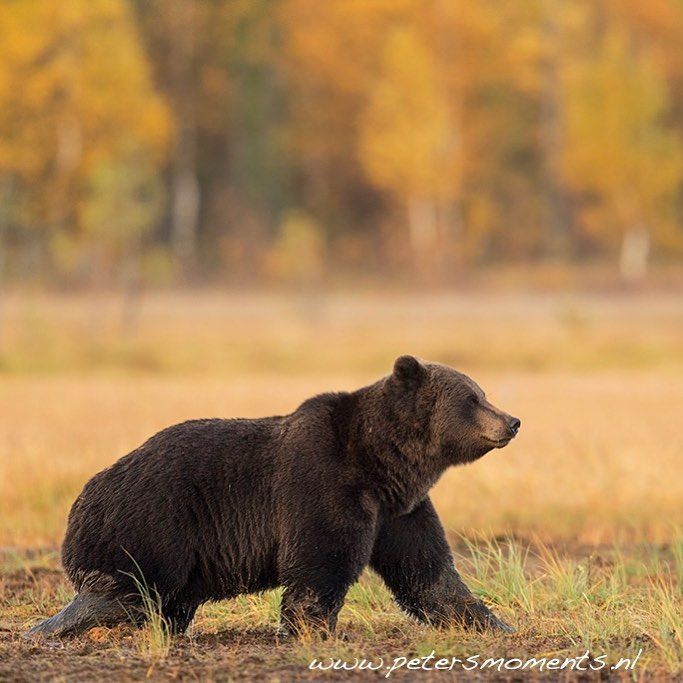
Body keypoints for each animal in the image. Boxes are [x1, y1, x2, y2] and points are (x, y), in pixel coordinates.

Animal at [25, 356, 520, 640]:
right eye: (472, 398)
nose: (512, 421)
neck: (380, 462)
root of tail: (81, 502)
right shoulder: (323, 484)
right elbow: (320, 560)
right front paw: (313, 627)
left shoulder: (399, 509)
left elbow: (427, 571)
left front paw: (491, 622)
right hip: (150, 519)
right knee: (128, 589)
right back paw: (66, 624)